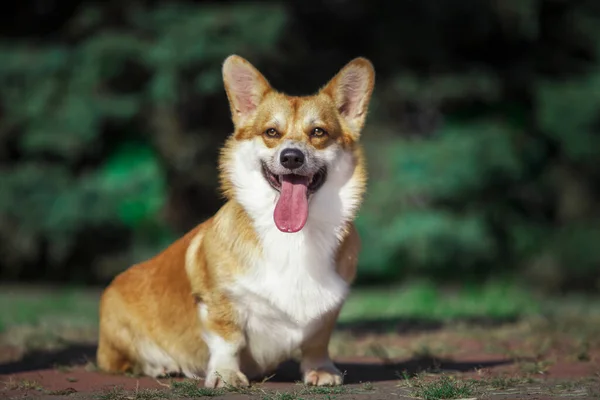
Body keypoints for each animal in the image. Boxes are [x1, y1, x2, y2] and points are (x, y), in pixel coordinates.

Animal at [97, 54, 376, 386]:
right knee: (127, 361)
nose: (291, 157)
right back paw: (162, 367)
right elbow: (228, 339)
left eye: (318, 132)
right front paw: (225, 374)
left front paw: (321, 370)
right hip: (118, 327)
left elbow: (317, 341)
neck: (294, 237)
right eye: (271, 133)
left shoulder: (327, 311)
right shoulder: (220, 301)